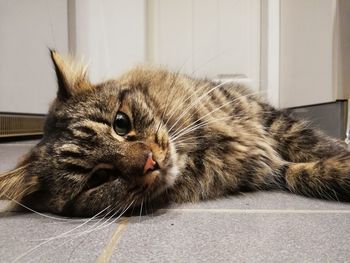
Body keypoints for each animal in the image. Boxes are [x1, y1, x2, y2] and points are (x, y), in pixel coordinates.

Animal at [0, 50, 350, 219]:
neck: (200, 151)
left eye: (121, 123)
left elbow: (313, 145)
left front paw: (340, 153)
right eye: (98, 179)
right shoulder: (270, 169)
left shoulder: (263, 116)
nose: (150, 162)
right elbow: (304, 173)